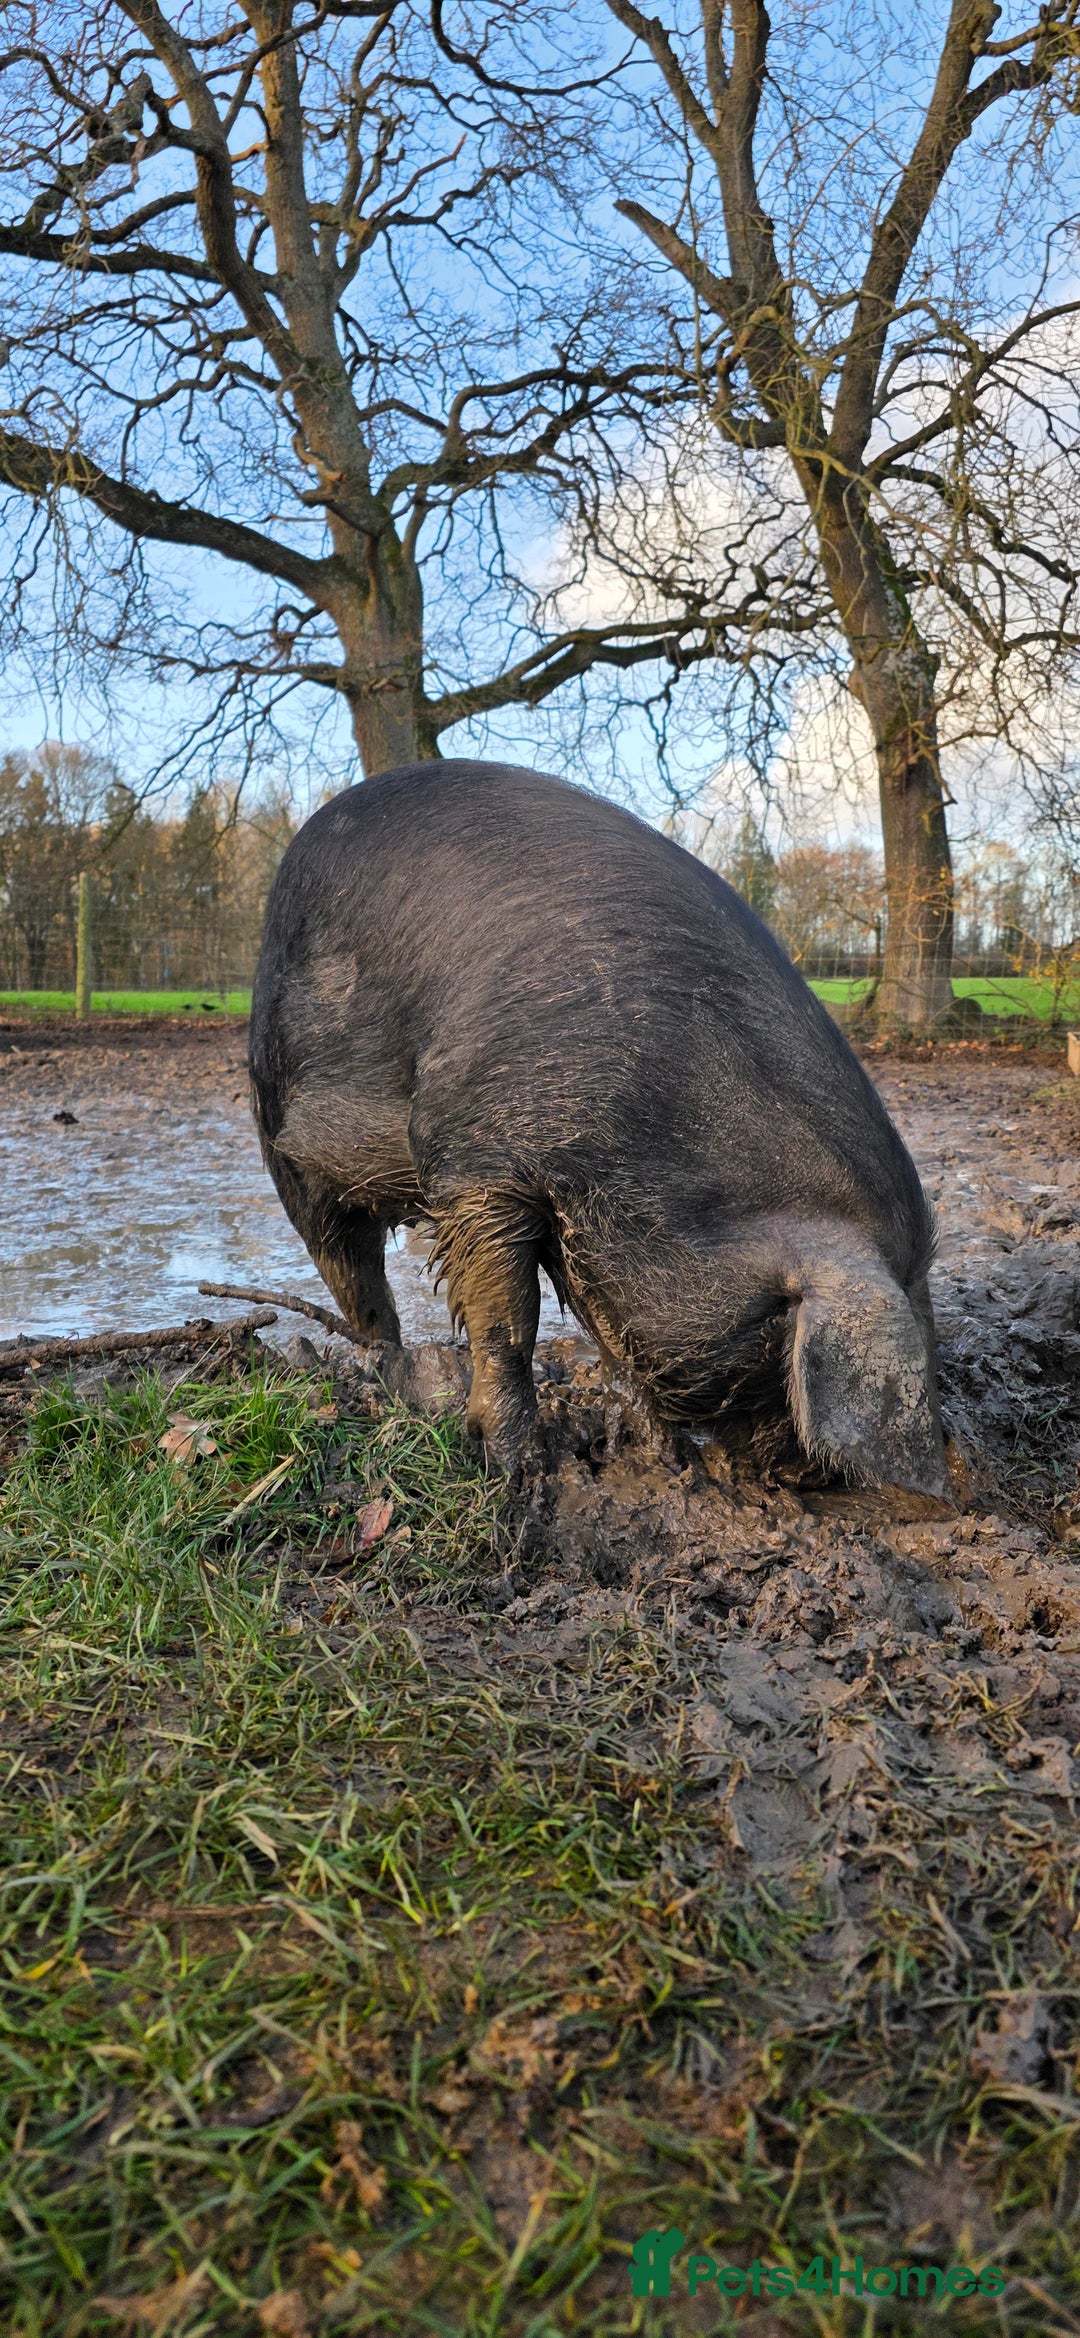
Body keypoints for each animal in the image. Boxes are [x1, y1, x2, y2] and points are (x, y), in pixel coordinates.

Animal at [249, 760, 947, 1496]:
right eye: (776, 1333)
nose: (804, 1479)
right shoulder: (475, 1160)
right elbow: (508, 1320)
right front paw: (518, 1471)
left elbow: (608, 1336)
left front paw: (670, 1460)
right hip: (279, 1125)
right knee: (350, 1268)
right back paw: (387, 1372)